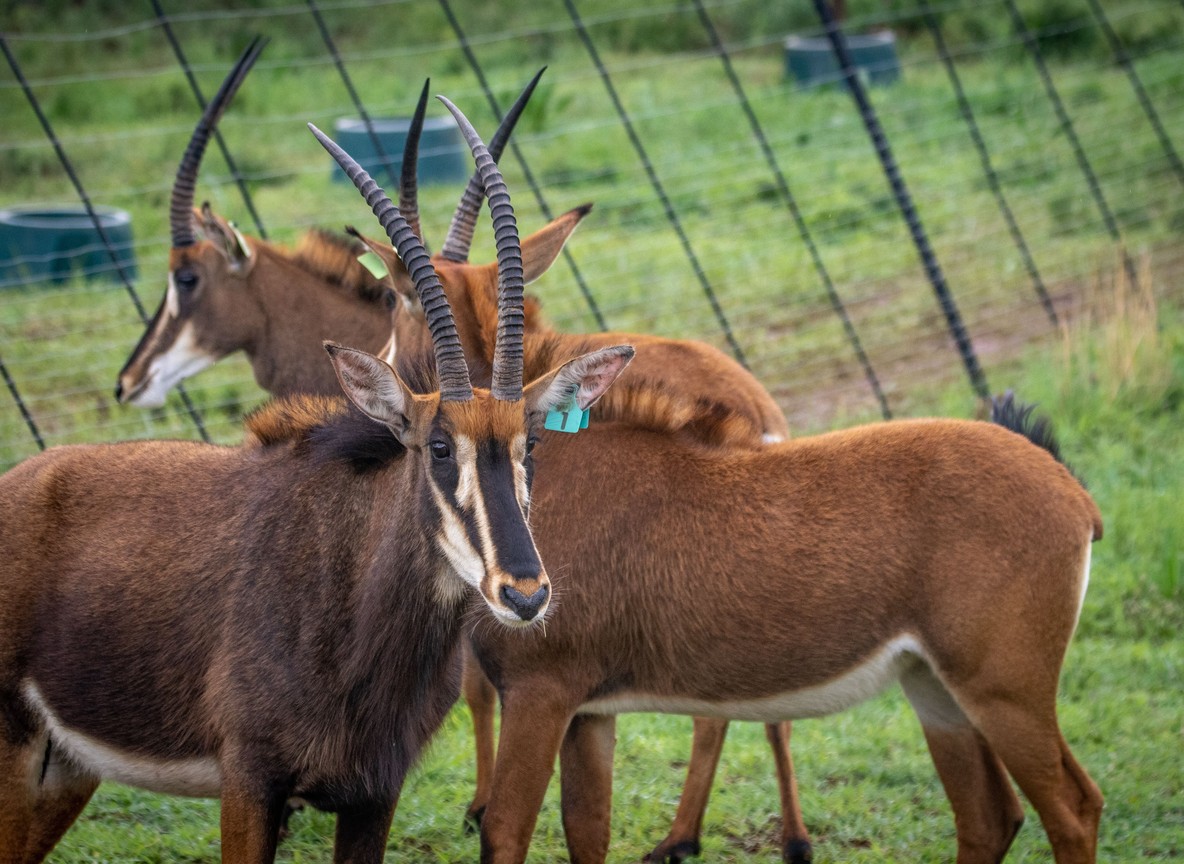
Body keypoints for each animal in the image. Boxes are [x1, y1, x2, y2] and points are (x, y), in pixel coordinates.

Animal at [0, 99, 634, 864]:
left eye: (531, 442)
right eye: (437, 446)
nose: (525, 593)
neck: (349, 600)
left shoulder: (373, 794)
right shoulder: (250, 784)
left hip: (62, 770)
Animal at [457, 392, 1104, 864]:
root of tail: (1070, 489)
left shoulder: (540, 693)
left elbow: (505, 831)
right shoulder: (588, 712)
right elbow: (587, 831)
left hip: (1004, 691)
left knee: (1073, 809)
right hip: (936, 691)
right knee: (989, 818)